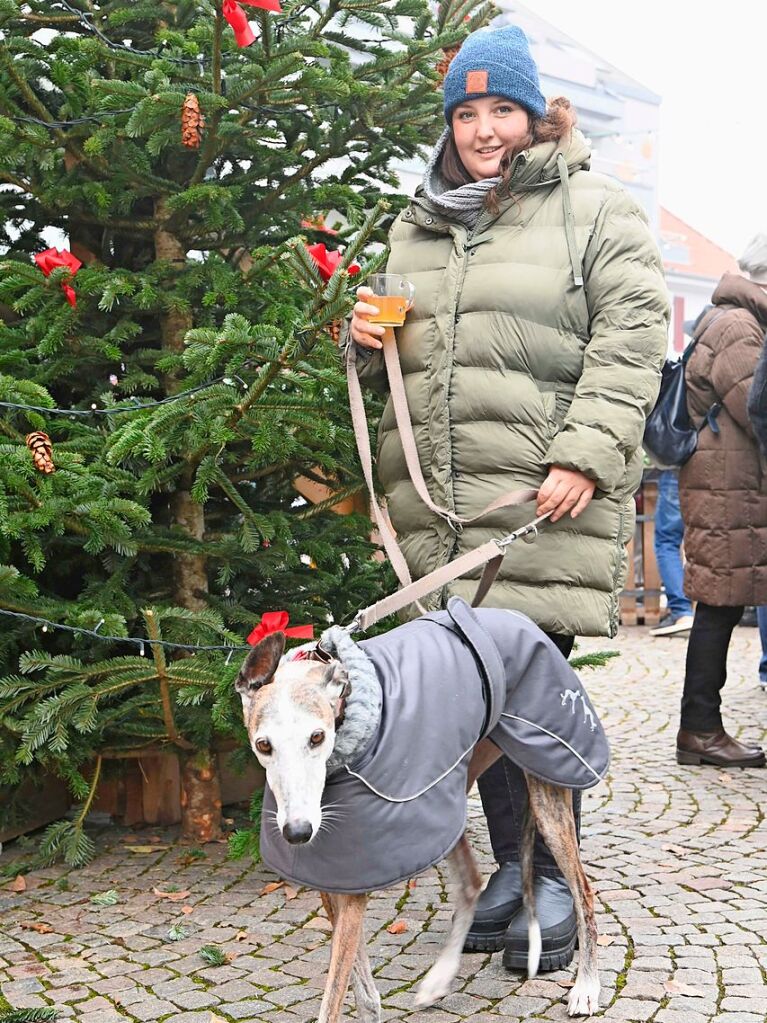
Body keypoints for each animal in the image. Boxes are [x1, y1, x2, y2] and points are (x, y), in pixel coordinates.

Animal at [240, 597, 605, 1023]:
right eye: (263, 745)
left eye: (317, 737)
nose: (298, 832)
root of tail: (518, 616)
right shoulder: (333, 878)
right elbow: (361, 983)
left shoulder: (353, 881)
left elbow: (333, 996)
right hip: (449, 795)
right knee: (471, 883)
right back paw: (439, 979)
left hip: (547, 787)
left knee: (583, 891)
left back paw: (586, 987)